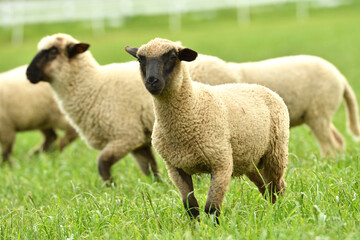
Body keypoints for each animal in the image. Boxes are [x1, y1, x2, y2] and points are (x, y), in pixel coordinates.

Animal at [26, 33, 159, 184]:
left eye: (53, 52)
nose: (28, 74)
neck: (94, 86)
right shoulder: (139, 142)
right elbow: (150, 169)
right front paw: (159, 185)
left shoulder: (127, 135)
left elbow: (102, 163)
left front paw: (112, 187)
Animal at [126, 38, 290, 222]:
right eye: (140, 60)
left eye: (173, 56)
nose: (152, 81)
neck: (192, 105)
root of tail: (264, 88)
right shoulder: (176, 168)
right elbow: (191, 207)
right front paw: (195, 227)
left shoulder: (221, 164)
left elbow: (211, 207)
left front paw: (215, 227)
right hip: (251, 160)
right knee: (266, 188)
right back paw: (271, 211)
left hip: (275, 152)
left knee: (277, 187)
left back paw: (278, 213)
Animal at [188, 53, 360, 157]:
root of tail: (341, 78)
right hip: (317, 112)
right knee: (337, 140)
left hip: (320, 110)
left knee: (329, 143)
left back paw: (327, 162)